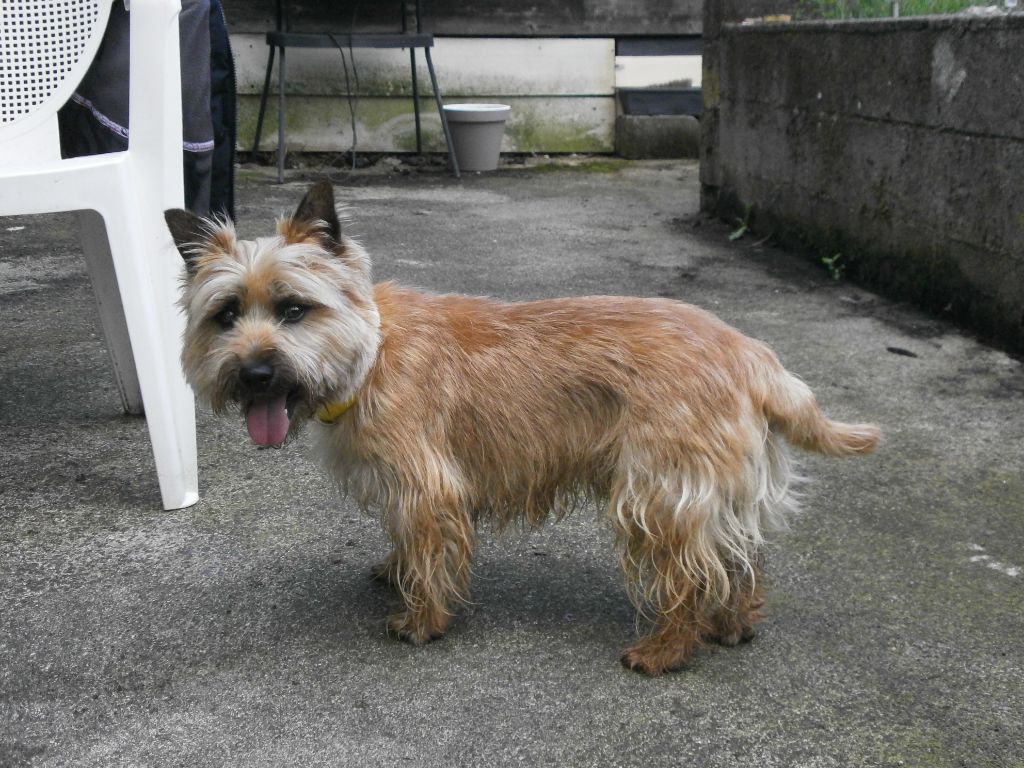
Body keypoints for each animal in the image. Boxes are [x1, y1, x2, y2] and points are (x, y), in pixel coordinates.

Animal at [161, 183, 880, 675]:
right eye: (226, 314)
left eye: (293, 309)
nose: (255, 372)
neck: (371, 353)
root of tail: (750, 352)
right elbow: (403, 538)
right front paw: (396, 570)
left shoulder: (428, 485)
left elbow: (428, 550)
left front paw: (422, 618)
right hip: (714, 489)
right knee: (738, 557)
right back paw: (734, 624)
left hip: (658, 494)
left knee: (693, 573)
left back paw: (666, 648)